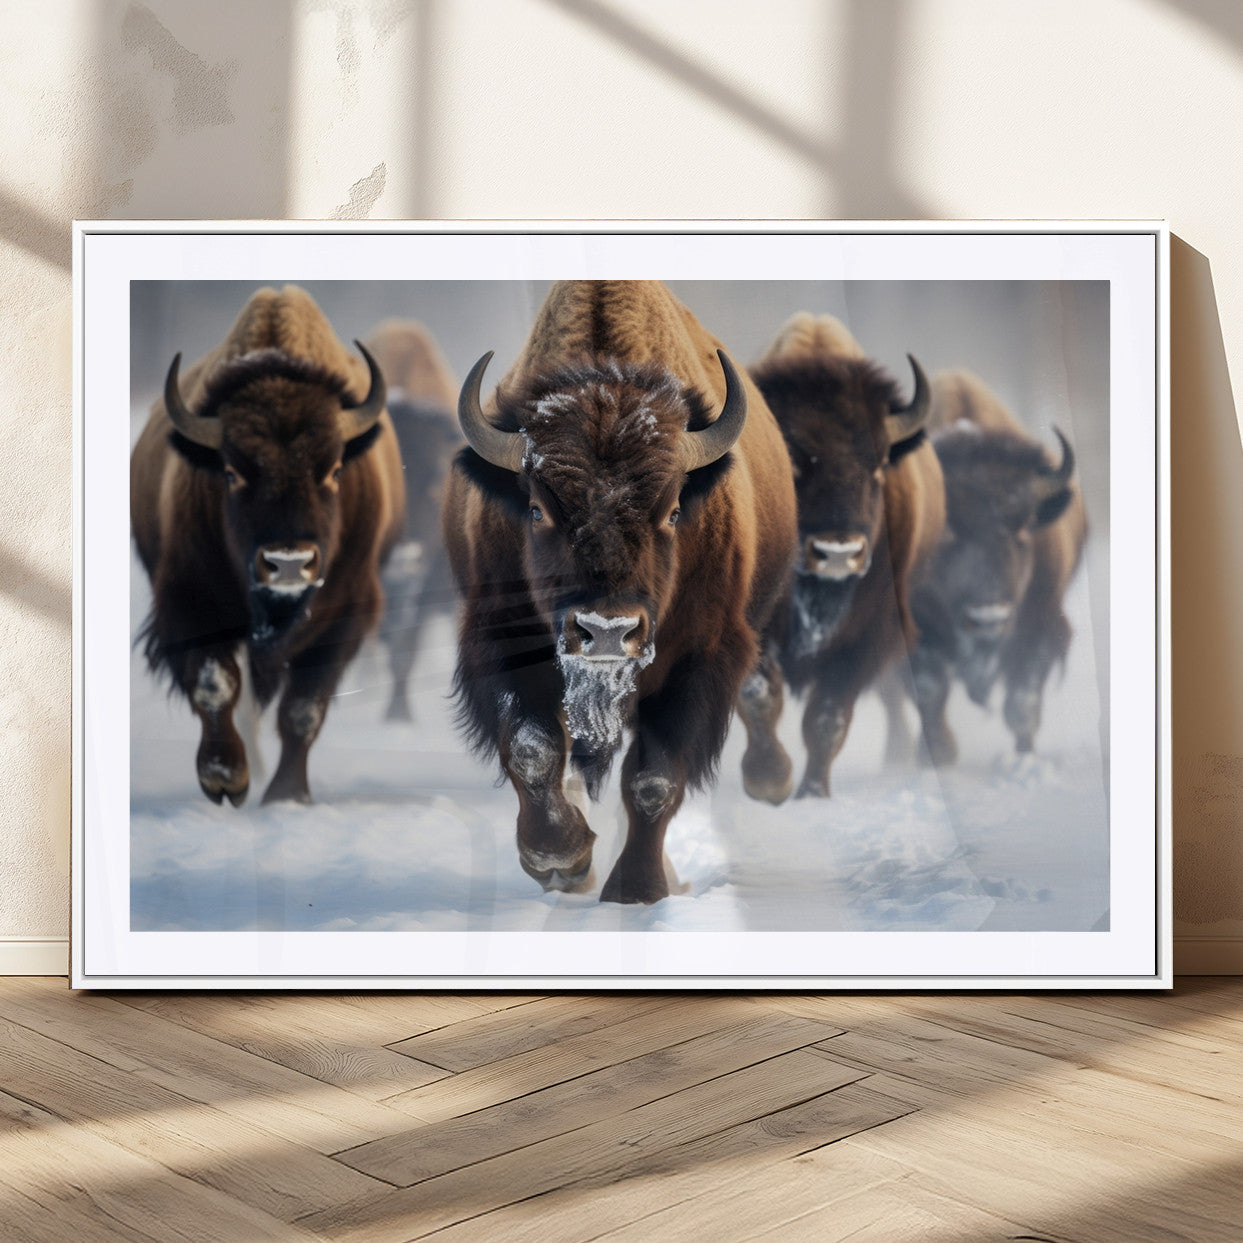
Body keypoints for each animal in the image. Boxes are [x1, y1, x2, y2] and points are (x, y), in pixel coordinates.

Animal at [131, 285, 405, 805]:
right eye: (232, 472)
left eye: (334, 470)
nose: (289, 563)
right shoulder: (191, 601)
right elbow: (215, 684)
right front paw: (225, 779)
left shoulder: (344, 614)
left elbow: (303, 707)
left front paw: (286, 796)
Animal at [442, 280, 797, 903]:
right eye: (536, 508)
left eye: (675, 509)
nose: (607, 631)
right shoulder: (503, 642)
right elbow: (533, 749)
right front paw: (559, 857)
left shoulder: (698, 659)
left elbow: (653, 779)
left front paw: (636, 891)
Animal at [737, 313, 945, 799]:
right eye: (792, 463)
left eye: (879, 464)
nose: (837, 552)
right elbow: (760, 695)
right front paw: (770, 782)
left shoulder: (866, 639)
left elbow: (827, 717)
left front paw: (812, 793)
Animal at [904, 369, 1087, 762]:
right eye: (946, 533)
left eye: (1022, 531)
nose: (989, 618)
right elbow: (930, 694)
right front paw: (939, 756)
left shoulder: (1041, 626)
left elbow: (1021, 704)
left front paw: (1024, 759)